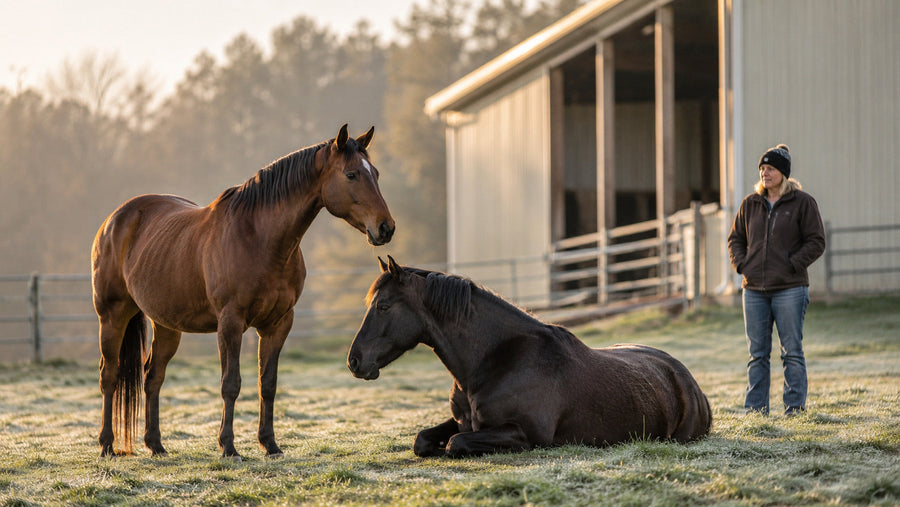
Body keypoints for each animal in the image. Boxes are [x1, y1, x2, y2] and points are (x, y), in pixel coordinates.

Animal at [91, 124, 394, 460]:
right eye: (352, 174)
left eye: (375, 173)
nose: (386, 228)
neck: (259, 238)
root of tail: (115, 219)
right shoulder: (231, 323)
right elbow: (231, 383)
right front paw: (229, 447)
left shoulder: (278, 324)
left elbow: (268, 384)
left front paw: (270, 444)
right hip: (113, 315)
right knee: (109, 375)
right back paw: (106, 444)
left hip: (167, 325)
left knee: (152, 377)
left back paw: (156, 445)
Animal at [347, 257, 712, 457]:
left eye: (384, 306)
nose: (354, 361)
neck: (494, 363)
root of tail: (686, 379)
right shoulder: (463, 421)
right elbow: (423, 439)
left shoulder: (527, 435)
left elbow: (456, 443)